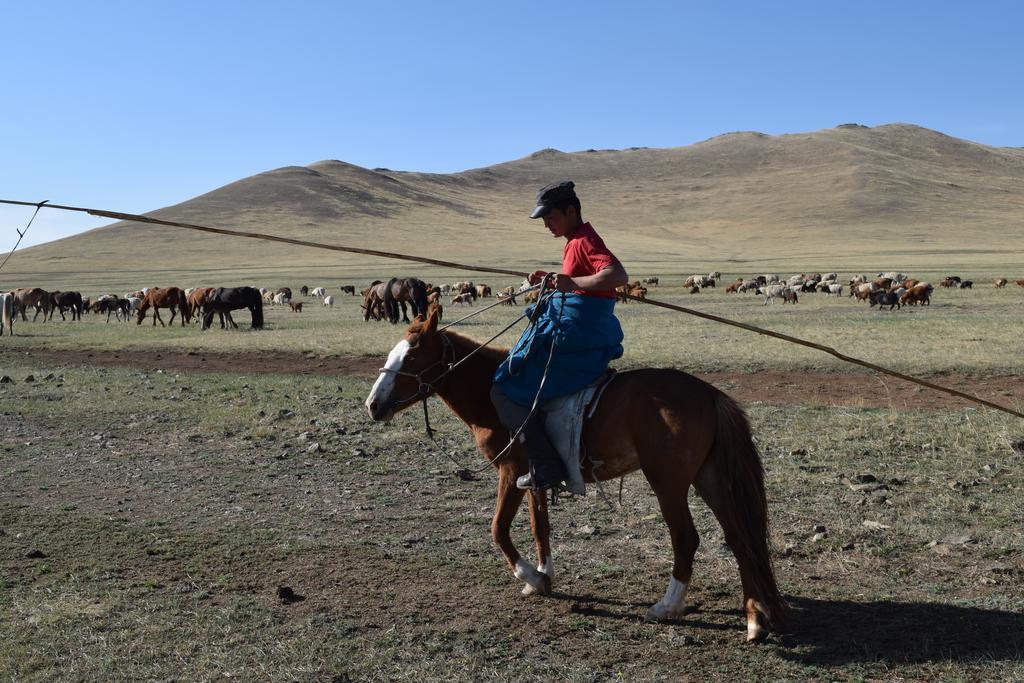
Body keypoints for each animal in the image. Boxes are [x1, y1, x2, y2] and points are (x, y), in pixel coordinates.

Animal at [364, 307, 786, 643]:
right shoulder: (532, 476)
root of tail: (709, 394)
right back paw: (754, 617)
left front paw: (531, 577)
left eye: (412, 355)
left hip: (668, 482)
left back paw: (667, 606)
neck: (489, 393)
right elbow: (540, 526)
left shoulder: (510, 470)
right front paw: (542, 577)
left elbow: (498, 529)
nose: (373, 405)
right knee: (740, 537)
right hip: (709, 478)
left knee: (686, 538)